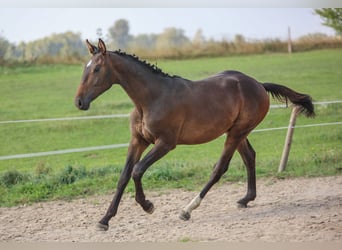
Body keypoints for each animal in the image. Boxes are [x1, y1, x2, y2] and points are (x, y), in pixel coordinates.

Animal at [73, 38, 314, 230]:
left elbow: (137, 170)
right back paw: (245, 199)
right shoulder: (138, 141)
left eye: (96, 69)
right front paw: (104, 220)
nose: (79, 102)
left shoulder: (166, 143)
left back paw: (187, 210)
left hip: (236, 133)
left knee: (220, 168)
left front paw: (148, 206)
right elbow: (123, 176)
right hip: (237, 132)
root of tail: (259, 85)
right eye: (84, 68)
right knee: (249, 157)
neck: (151, 99)